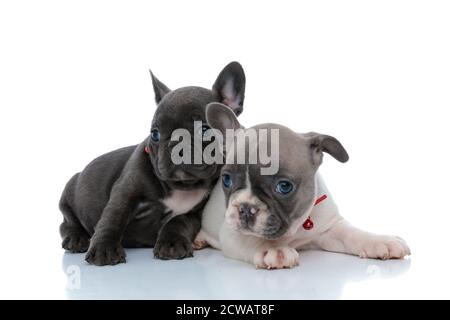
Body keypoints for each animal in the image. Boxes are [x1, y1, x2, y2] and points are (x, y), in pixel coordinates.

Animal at [59, 62, 246, 264]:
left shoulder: (196, 213)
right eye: (155, 133)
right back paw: (77, 238)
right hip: (68, 195)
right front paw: (104, 248)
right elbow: (113, 217)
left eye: (204, 130)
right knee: (67, 223)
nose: (175, 144)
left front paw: (171, 244)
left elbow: (178, 222)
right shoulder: (125, 192)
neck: (182, 186)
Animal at [195, 104, 410, 268]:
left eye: (284, 186)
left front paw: (381, 240)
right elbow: (252, 238)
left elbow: (353, 234)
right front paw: (272, 249)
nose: (246, 208)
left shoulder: (329, 228)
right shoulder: (231, 232)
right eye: (226, 180)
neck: (296, 228)